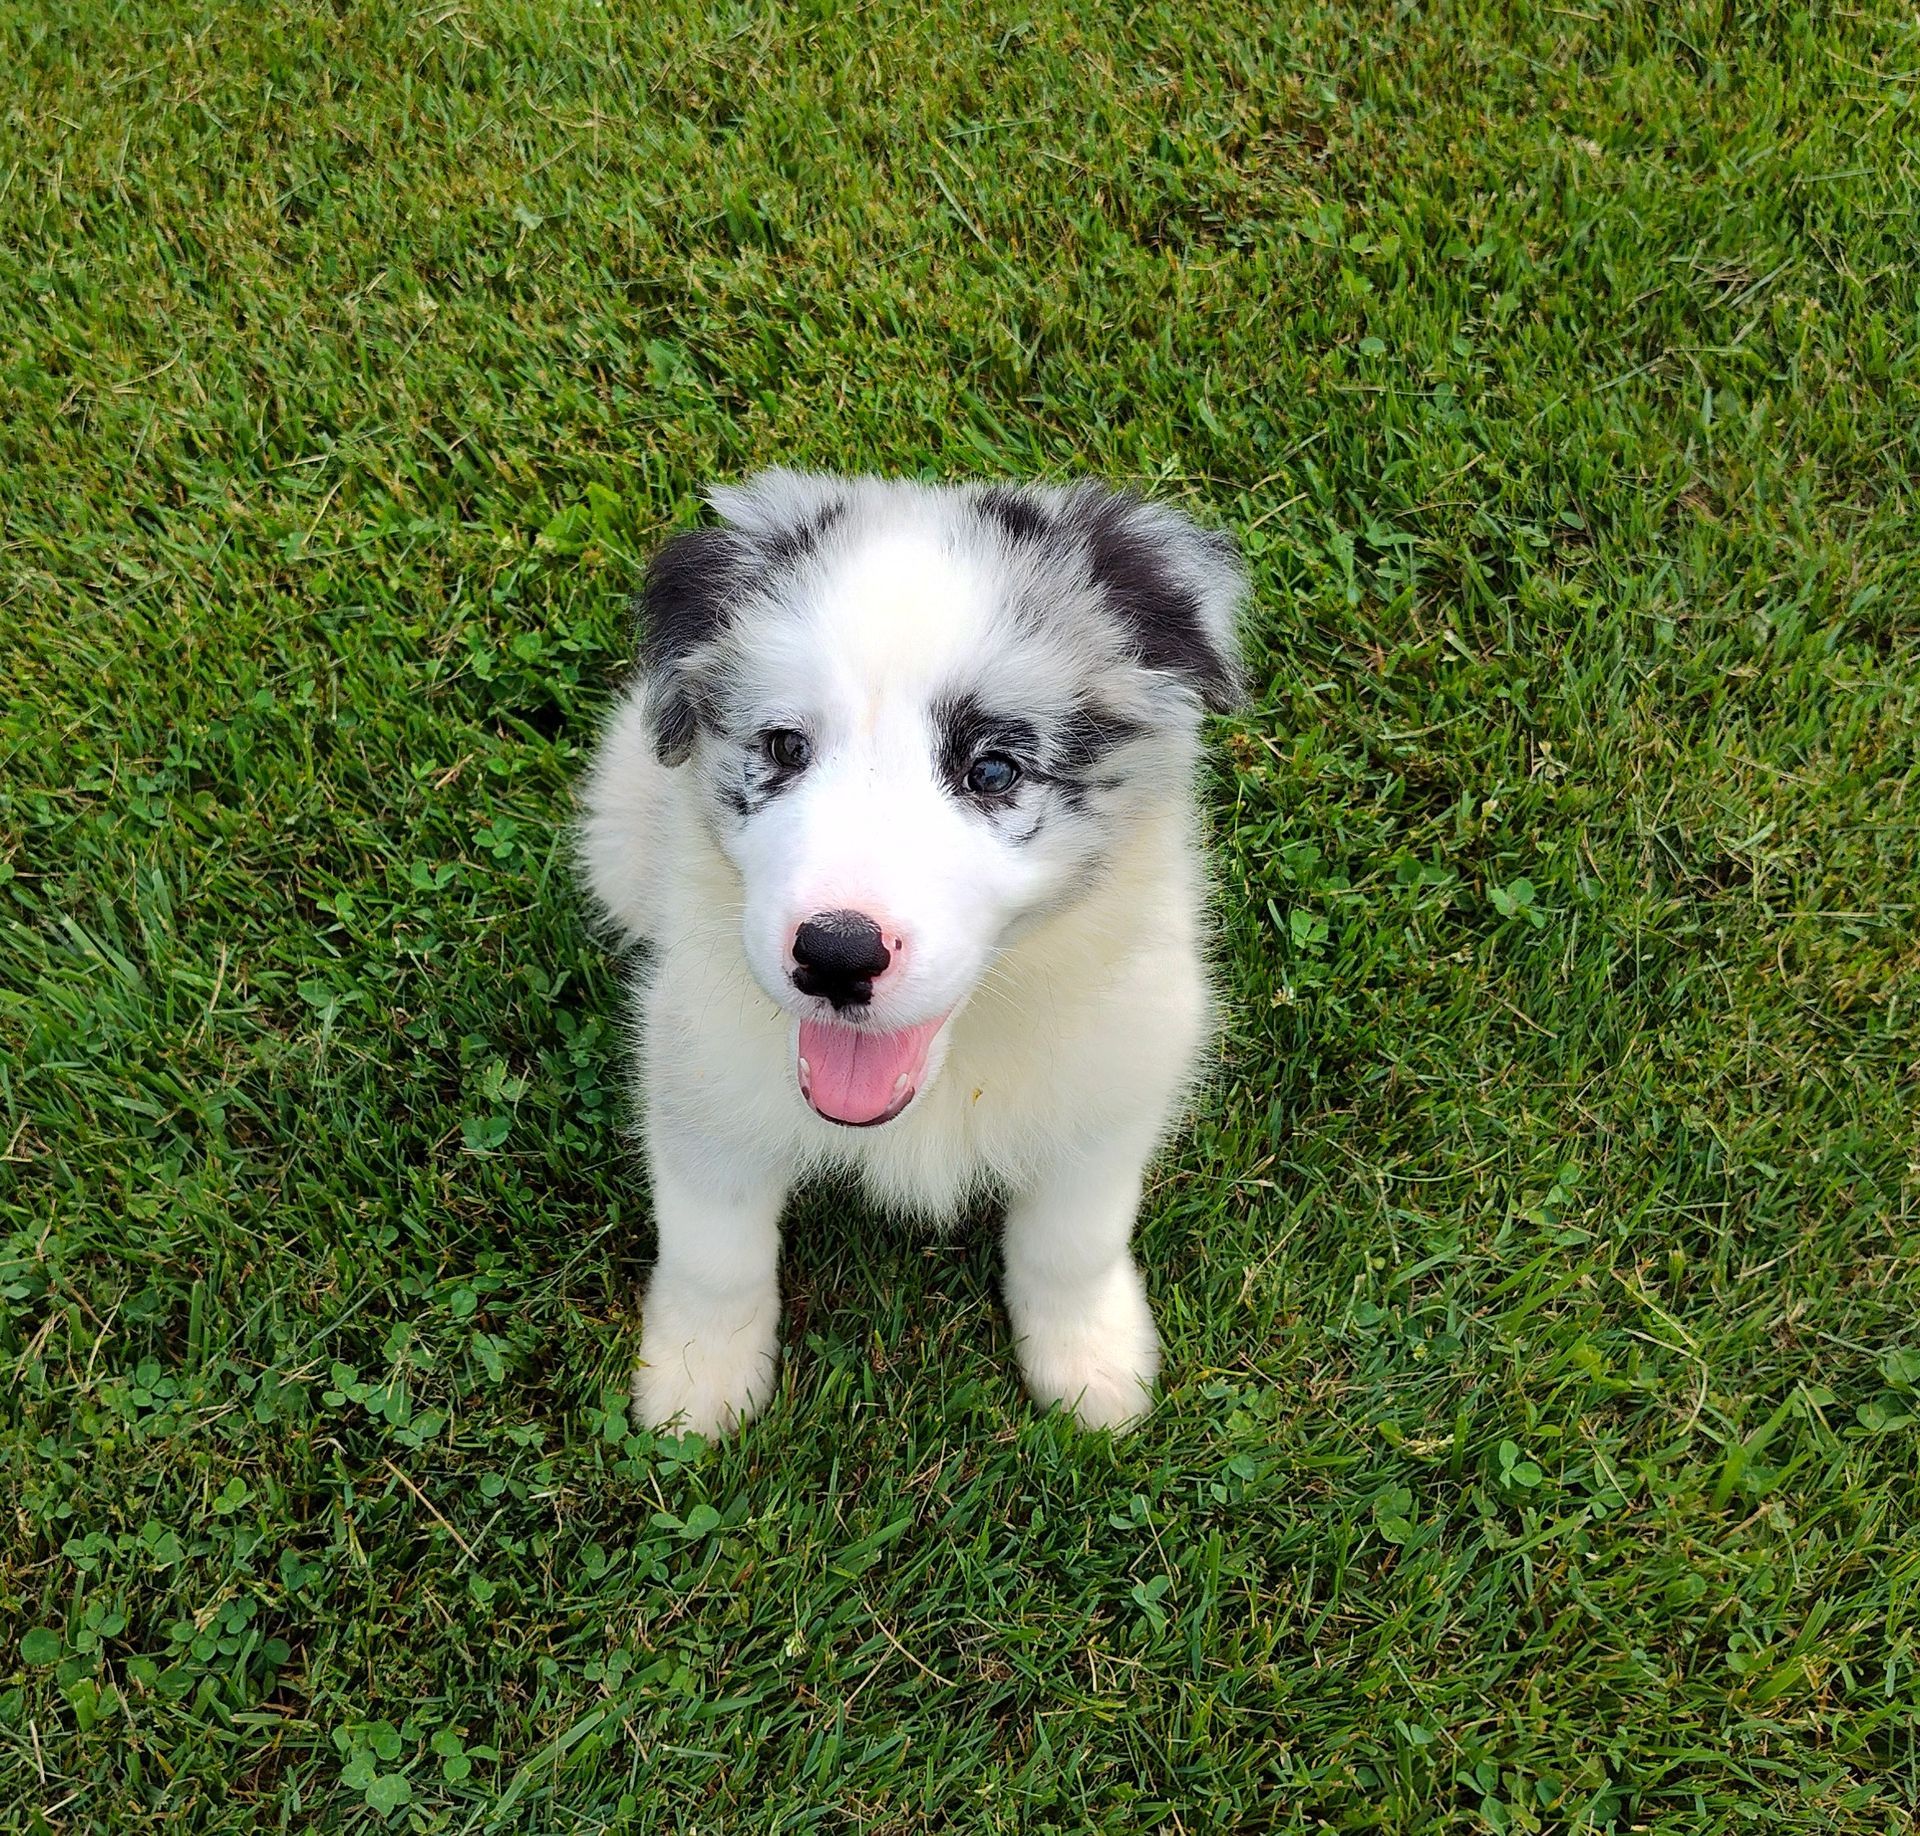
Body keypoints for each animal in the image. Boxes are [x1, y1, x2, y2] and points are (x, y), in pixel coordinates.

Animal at [579, 472, 1244, 1436]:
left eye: (994, 771)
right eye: (784, 747)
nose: (836, 953)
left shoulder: (1115, 1082)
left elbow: (1073, 1242)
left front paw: (1091, 1365)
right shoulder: (700, 1076)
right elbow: (714, 1250)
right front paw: (698, 1384)